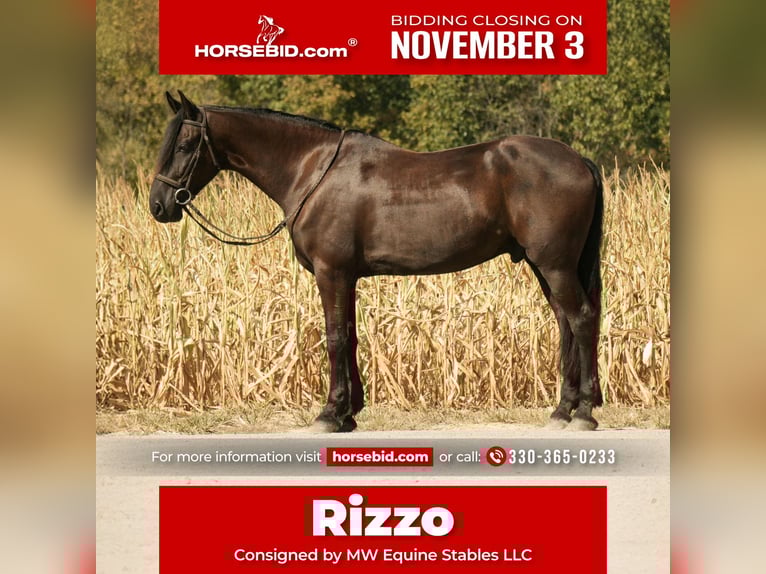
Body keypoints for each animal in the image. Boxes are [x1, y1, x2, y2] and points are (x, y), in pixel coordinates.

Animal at [150, 91, 604, 432]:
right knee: (566, 322)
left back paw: (583, 412)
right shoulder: (346, 276)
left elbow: (334, 338)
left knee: (581, 319)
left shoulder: (331, 272)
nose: (159, 205)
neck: (312, 171)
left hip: (555, 265)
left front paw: (329, 414)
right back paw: (562, 410)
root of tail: (577, 160)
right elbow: (349, 336)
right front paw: (349, 414)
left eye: (185, 145)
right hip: (545, 266)